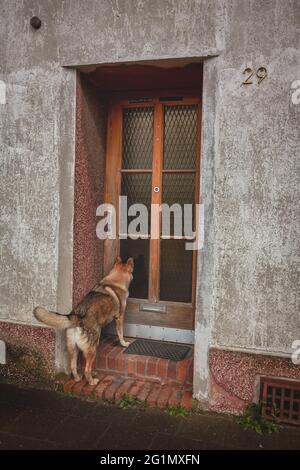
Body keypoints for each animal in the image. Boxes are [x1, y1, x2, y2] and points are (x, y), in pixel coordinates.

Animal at [32, 258, 134, 386]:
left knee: (73, 367)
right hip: (92, 349)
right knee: (87, 369)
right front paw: (124, 343)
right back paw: (92, 381)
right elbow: (120, 334)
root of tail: (77, 317)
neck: (115, 281)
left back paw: (77, 379)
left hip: (73, 349)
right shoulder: (120, 317)